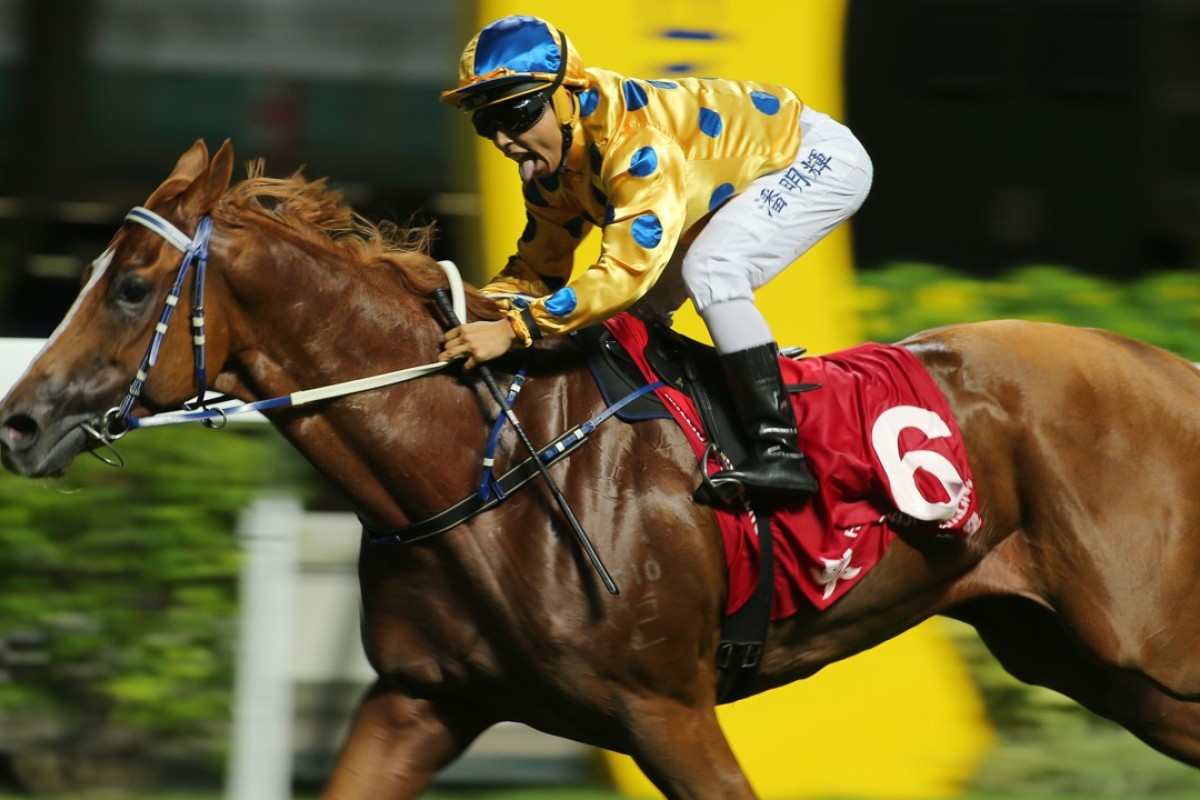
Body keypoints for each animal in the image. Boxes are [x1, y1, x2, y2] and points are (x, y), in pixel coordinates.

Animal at [2, 139, 1200, 800]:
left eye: (130, 284)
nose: (18, 420)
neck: (477, 464)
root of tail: (1169, 364)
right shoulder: (419, 700)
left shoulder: (666, 707)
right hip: (1084, 659)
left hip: (1150, 650)